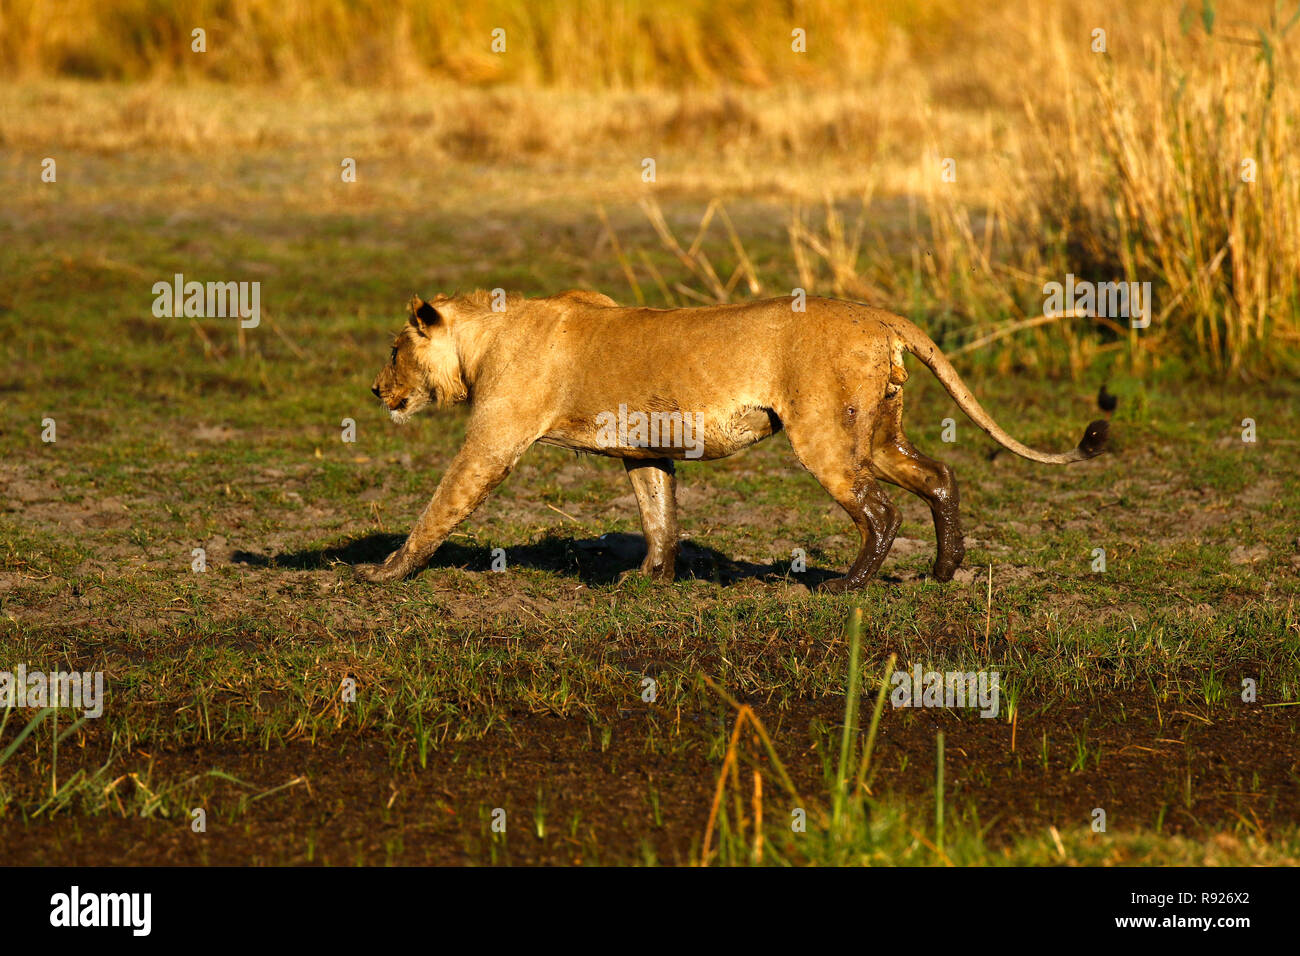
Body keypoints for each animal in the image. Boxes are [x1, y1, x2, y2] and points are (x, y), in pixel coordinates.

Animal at [360, 289, 1108, 589]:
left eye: (394, 349)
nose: (374, 390)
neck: (485, 337)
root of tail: (875, 313)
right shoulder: (642, 446)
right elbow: (659, 513)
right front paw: (649, 579)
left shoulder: (495, 438)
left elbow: (439, 509)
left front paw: (385, 572)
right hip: (879, 432)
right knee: (939, 478)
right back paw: (944, 571)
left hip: (824, 433)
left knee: (880, 509)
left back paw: (845, 586)